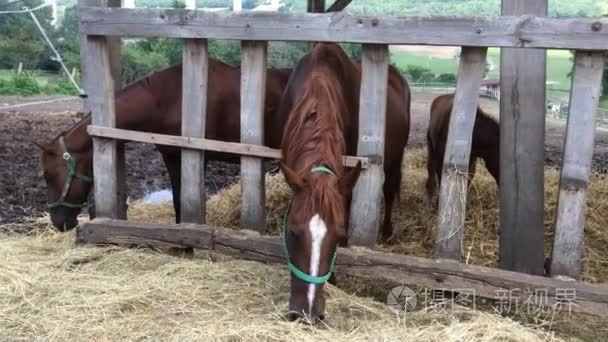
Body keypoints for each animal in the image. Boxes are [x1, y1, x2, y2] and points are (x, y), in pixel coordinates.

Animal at [276, 42, 410, 320]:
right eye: (292, 232)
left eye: (339, 236)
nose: (308, 313)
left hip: (394, 160)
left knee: (389, 190)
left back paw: (387, 231)